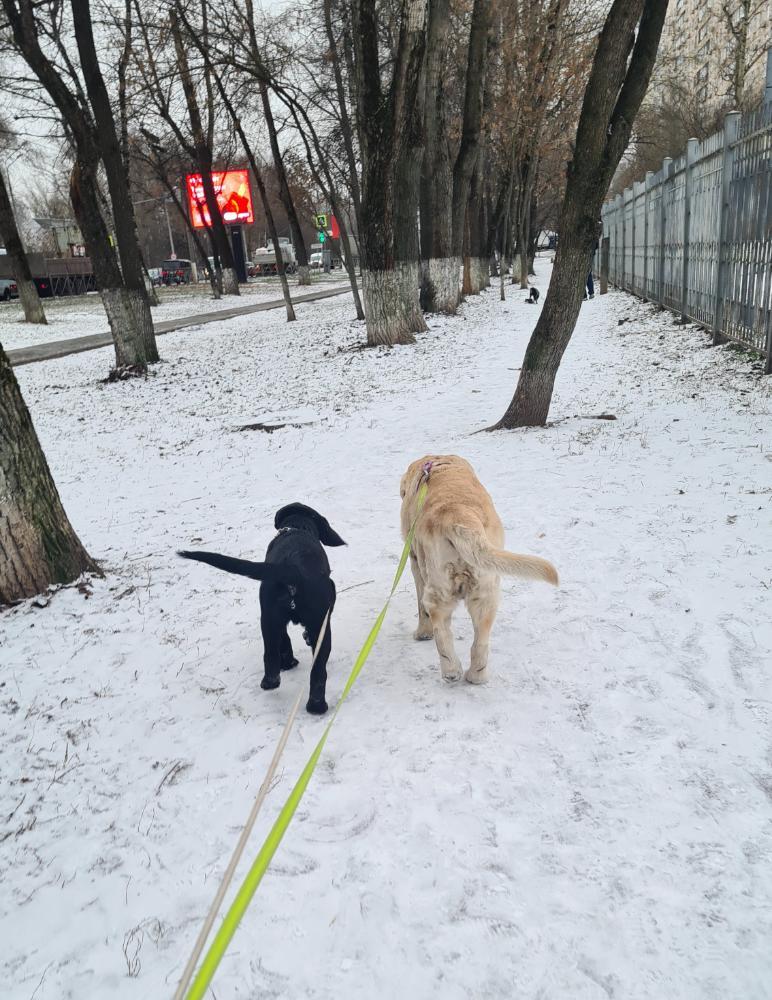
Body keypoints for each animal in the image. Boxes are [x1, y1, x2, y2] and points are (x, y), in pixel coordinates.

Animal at [179, 503, 345, 714]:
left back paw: (276, 682)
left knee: (276, 655)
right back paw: (315, 704)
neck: (297, 527)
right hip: (317, 625)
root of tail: (293, 567)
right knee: (317, 670)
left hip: (271, 617)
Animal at [400, 456, 558, 685]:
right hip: (486, 591)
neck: (439, 466)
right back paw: (476, 675)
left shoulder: (414, 561)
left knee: (441, 628)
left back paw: (451, 671)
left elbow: (422, 610)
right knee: (480, 642)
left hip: (438, 587)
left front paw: (422, 633)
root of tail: (460, 519)